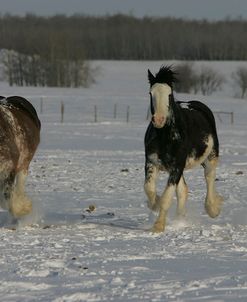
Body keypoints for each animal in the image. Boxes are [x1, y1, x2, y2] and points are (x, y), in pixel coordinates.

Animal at [144, 65, 223, 232]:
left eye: (169, 94)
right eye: (151, 93)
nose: (159, 120)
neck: (165, 137)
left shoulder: (176, 166)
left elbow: (167, 197)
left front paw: (158, 226)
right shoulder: (151, 162)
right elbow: (149, 188)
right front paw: (154, 204)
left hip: (210, 158)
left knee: (209, 178)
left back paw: (212, 209)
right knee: (183, 191)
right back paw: (180, 220)